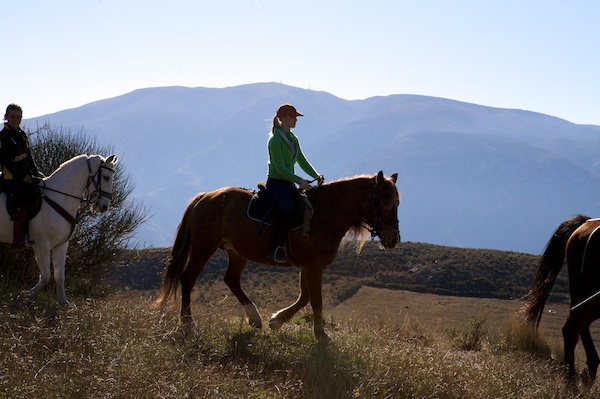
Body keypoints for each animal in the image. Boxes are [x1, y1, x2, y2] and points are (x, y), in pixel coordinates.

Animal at [0, 155, 118, 304]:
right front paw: (25, 294)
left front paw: (64, 302)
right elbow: (45, 276)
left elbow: (59, 275)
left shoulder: (61, 245)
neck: (59, 197)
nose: (104, 206)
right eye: (106, 177)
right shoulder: (41, 245)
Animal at [157, 171, 400, 340]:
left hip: (237, 252)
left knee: (231, 280)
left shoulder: (308, 266)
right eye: (383, 202)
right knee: (188, 279)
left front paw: (277, 321)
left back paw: (254, 317)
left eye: (397, 203)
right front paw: (320, 335)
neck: (326, 215)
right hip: (203, 247)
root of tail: (205, 197)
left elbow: (305, 297)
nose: (393, 239)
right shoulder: (313, 266)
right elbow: (316, 300)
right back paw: (187, 323)